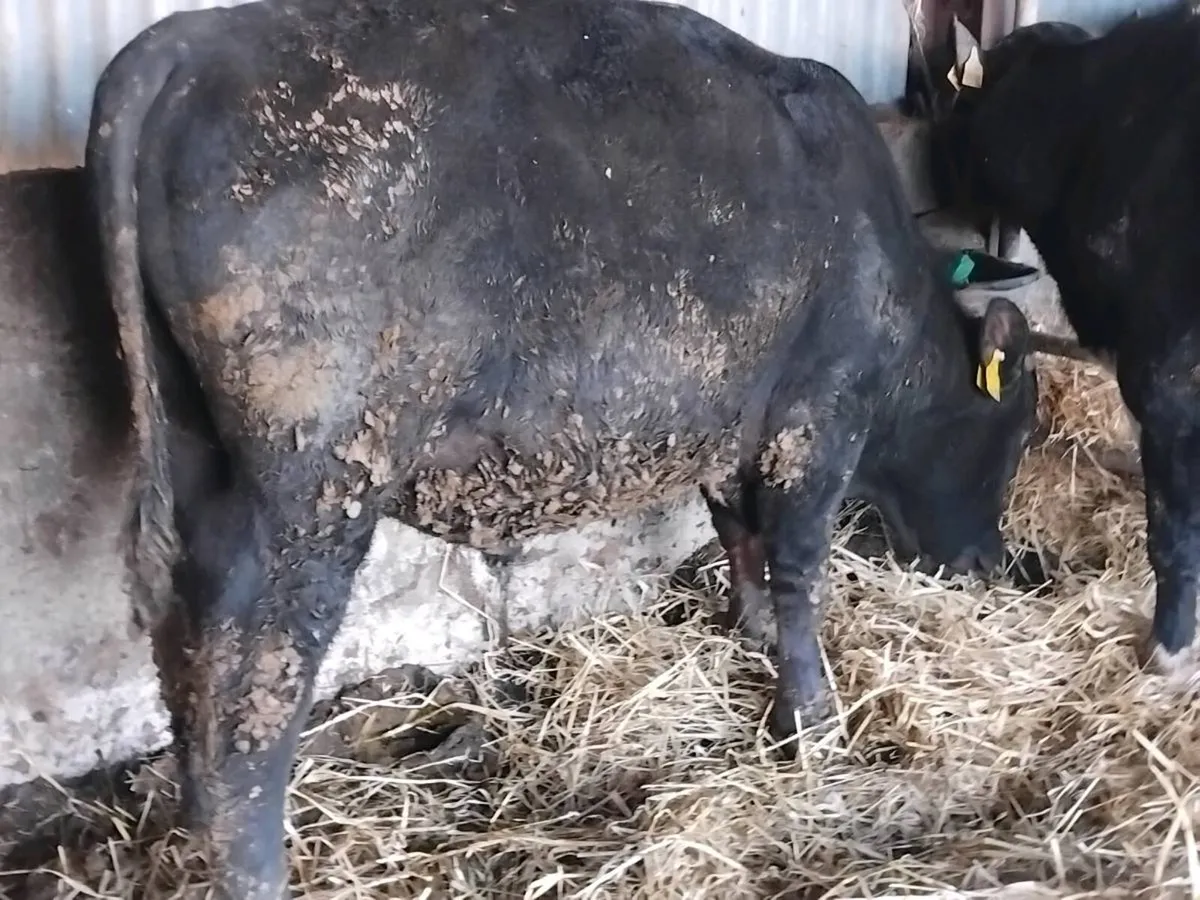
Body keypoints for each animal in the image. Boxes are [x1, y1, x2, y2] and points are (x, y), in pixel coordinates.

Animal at [84, 0, 1039, 894]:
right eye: (1016, 425)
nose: (987, 562)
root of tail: (182, 46)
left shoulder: (736, 426)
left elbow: (741, 537)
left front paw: (754, 625)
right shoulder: (816, 423)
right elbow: (801, 567)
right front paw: (812, 716)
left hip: (200, 454)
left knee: (187, 636)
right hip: (313, 485)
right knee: (256, 668)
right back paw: (251, 859)